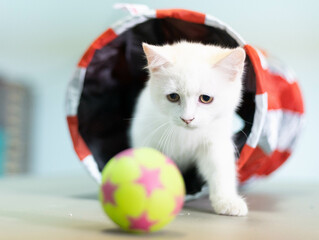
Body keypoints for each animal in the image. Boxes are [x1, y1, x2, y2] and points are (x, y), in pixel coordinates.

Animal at [129, 40, 249, 216]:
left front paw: (227, 200)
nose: (187, 118)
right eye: (173, 97)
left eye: (206, 98)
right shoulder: (147, 137)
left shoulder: (216, 141)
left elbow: (220, 169)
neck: (185, 134)